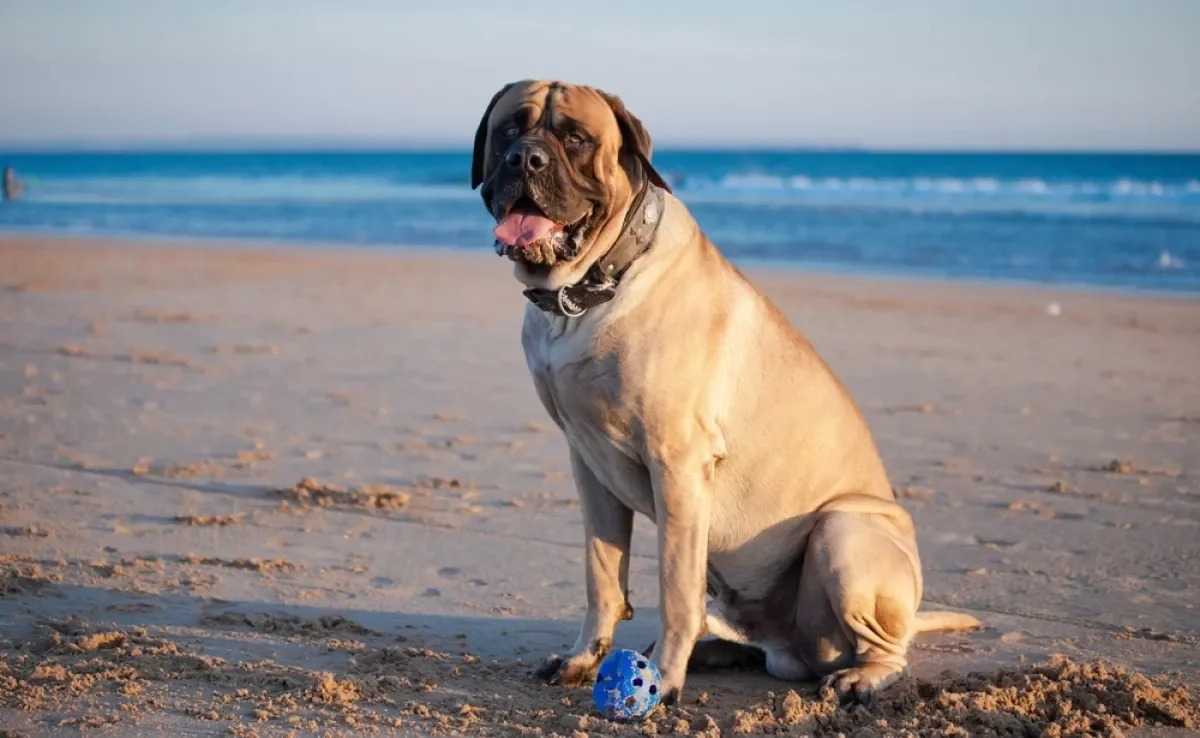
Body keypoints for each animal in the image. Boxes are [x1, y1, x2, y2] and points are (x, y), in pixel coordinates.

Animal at [463, 79, 979, 705]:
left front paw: (665, 680)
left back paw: (857, 676)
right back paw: (710, 653)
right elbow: (601, 575)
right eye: (509, 130)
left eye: (576, 138)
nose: (525, 159)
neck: (586, 291)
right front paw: (584, 658)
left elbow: (675, 588)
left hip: (845, 532)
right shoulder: (589, 465)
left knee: (885, 648)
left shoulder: (678, 463)